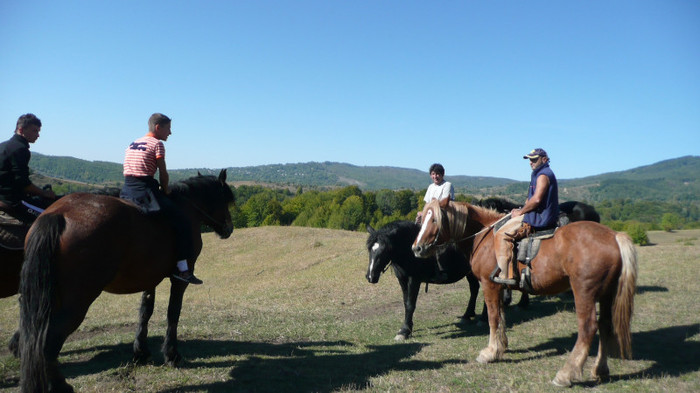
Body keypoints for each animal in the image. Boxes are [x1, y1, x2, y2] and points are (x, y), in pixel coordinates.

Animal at [19, 169, 237, 392]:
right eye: (225, 201)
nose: (229, 228)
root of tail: (59, 214)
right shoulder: (179, 280)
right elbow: (173, 312)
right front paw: (172, 355)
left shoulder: (149, 278)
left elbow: (145, 311)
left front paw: (141, 352)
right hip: (77, 302)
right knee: (48, 342)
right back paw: (60, 386)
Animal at [412, 199, 636, 386]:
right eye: (422, 219)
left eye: (434, 219)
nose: (417, 248)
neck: (485, 236)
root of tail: (614, 236)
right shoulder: (499, 288)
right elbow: (501, 316)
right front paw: (501, 347)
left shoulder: (489, 285)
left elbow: (493, 317)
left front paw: (490, 352)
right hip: (607, 294)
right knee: (605, 325)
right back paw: (600, 369)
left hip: (584, 292)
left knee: (588, 328)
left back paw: (566, 374)